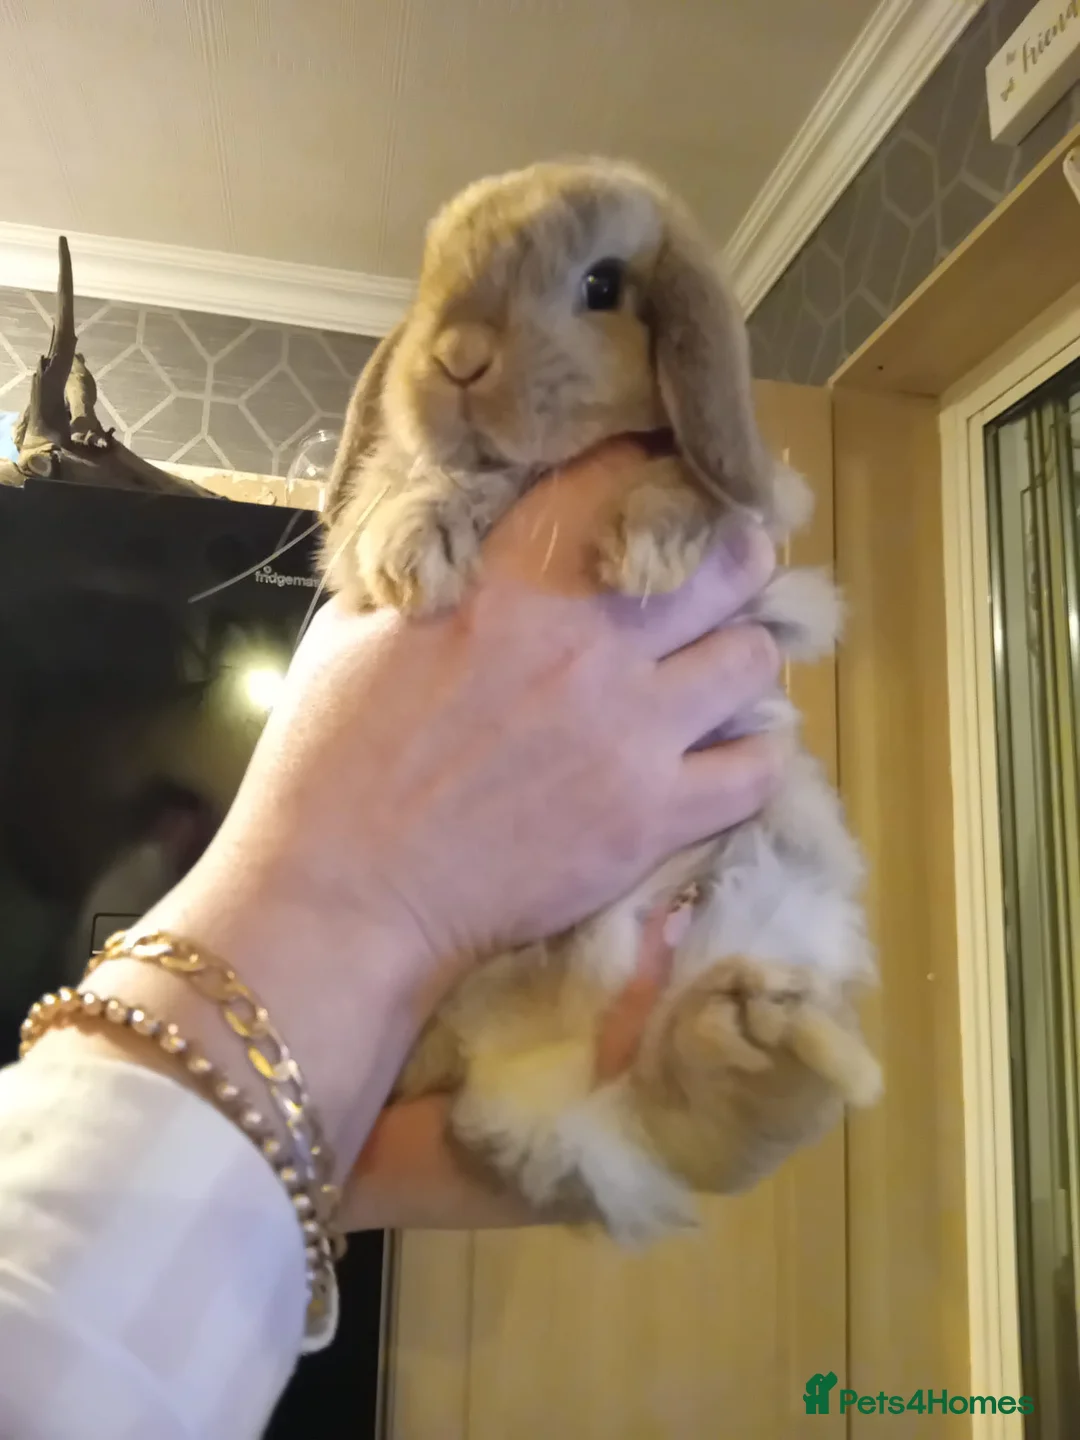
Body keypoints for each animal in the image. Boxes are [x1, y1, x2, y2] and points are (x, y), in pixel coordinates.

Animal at [319, 158, 881, 1242]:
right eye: (429, 270)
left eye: (603, 284)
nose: (455, 357)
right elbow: (403, 499)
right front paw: (417, 548)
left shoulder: (758, 527)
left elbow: (702, 488)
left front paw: (648, 545)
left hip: (768, 899)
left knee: (691, 1116)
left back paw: (764, 1040)